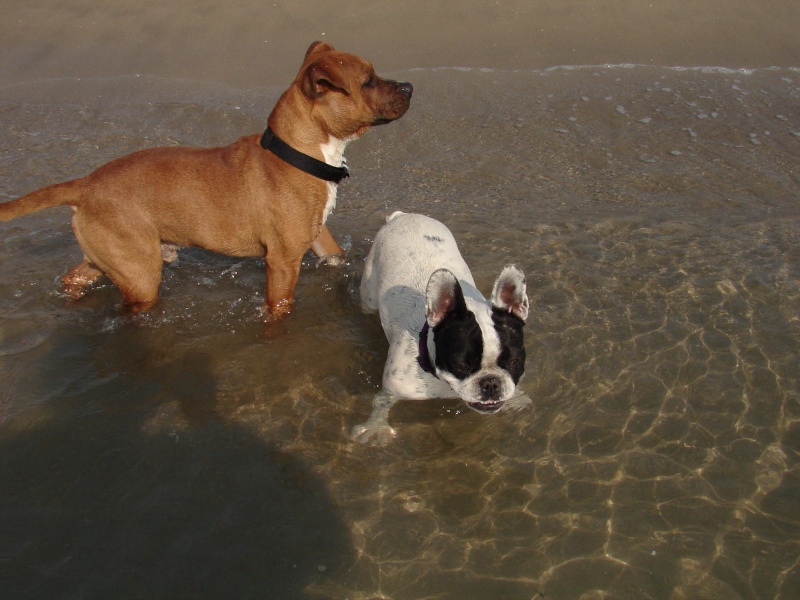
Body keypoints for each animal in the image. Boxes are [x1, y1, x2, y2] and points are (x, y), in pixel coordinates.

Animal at [0, 43, 412, 318]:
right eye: (368, 81)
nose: (409, 86)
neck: (296, 152)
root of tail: (85, 184)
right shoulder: (282, 262)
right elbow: (279, 307)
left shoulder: (319, 237)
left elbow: (338, 259)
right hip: (140, 273)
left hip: (110, 256)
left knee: (73, 277)